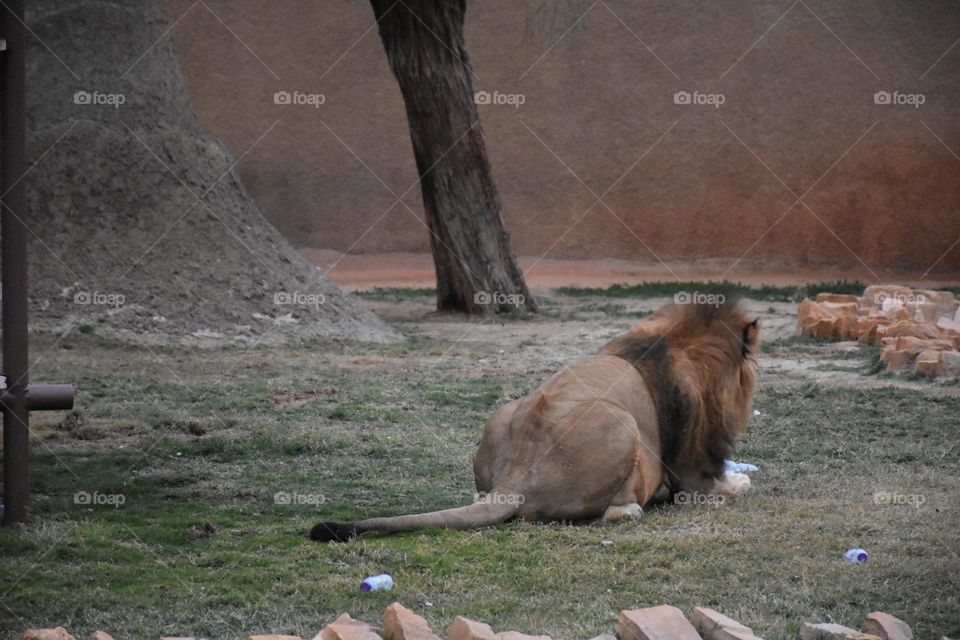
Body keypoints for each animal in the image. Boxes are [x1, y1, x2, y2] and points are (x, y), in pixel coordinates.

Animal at [310, 300, 760, 542]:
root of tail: (517, 477)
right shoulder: (692, 471)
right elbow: (719, 487)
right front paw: (741, 481)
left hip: (503, 413)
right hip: (622, 425)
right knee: (602, 512)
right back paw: (629, 510)